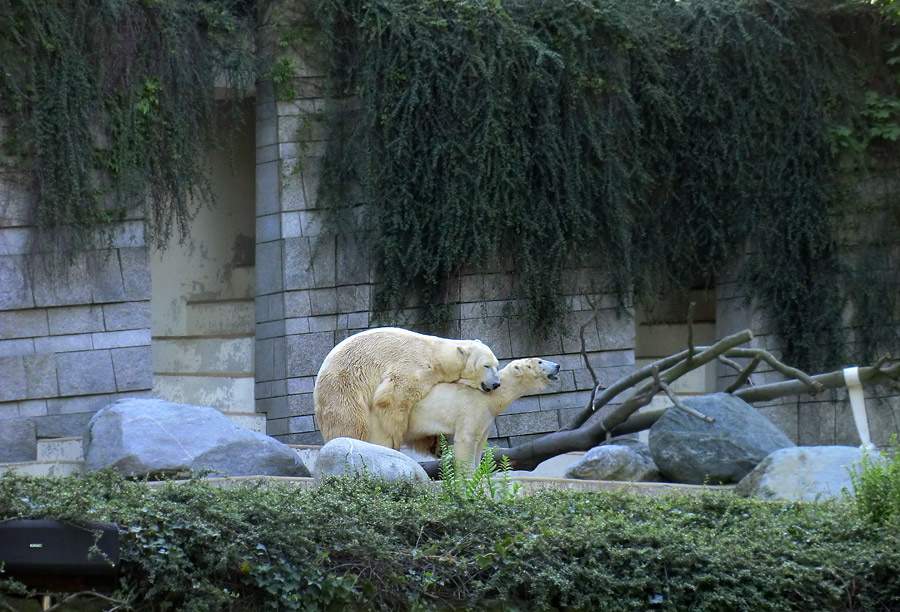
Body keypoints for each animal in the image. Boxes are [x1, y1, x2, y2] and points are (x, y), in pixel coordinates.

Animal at [314, 326, 500, 450]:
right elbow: (392, 398)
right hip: (342, 385)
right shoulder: (415, 365)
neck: (437, 354)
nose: (496, 383)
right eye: (486, 365)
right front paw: (396, 438)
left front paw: (436, 445)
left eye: (497, 365)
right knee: (351, 421)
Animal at [404, 358, 560, 468]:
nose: (557, 366)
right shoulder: (471, 408)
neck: (491, 397)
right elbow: (466, 439)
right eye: (539, 361)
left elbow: (480, 443)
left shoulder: (487, 417)